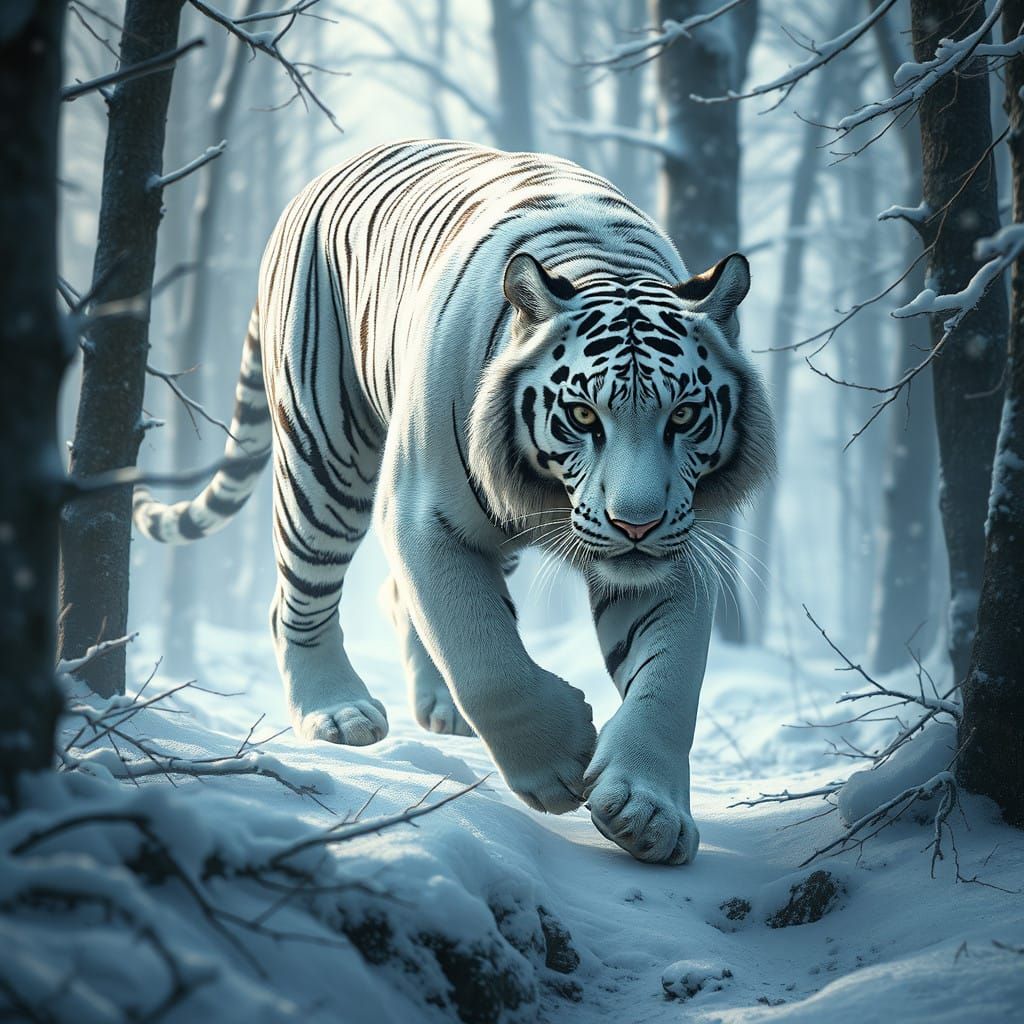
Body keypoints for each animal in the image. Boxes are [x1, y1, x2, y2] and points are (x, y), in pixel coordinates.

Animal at [134, 140, 775, 865]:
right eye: (584, 415)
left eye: (684, 415)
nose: (633, 523)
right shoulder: (424, 515)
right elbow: (482, 652)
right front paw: (557, 760)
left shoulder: (679, 546)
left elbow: (668, 682)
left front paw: (647, 810)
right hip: (325, 454)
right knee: (300, 595)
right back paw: (336, 712)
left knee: (400, 597)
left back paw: (437, 707)